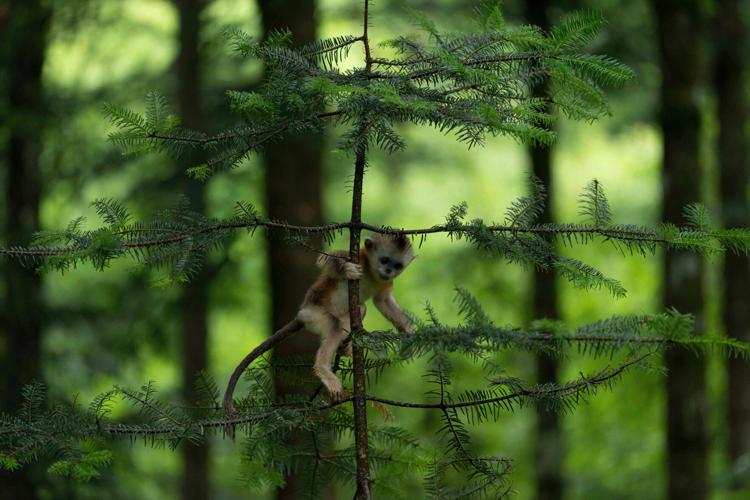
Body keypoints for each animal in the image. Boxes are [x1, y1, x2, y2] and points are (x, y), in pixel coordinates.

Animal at [223, 233, 414, 414]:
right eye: (384, 260)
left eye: (397, 266)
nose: (388, 270)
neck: (373, 274)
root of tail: (301, 315)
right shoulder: (358, 257)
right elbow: (329, 260)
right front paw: (347, 269)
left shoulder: (385, 284)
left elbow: (383, 302)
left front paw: (408, 332)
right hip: (315, 315)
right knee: (336, 326)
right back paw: (324, 370)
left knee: (360, 308)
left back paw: (345, 347)